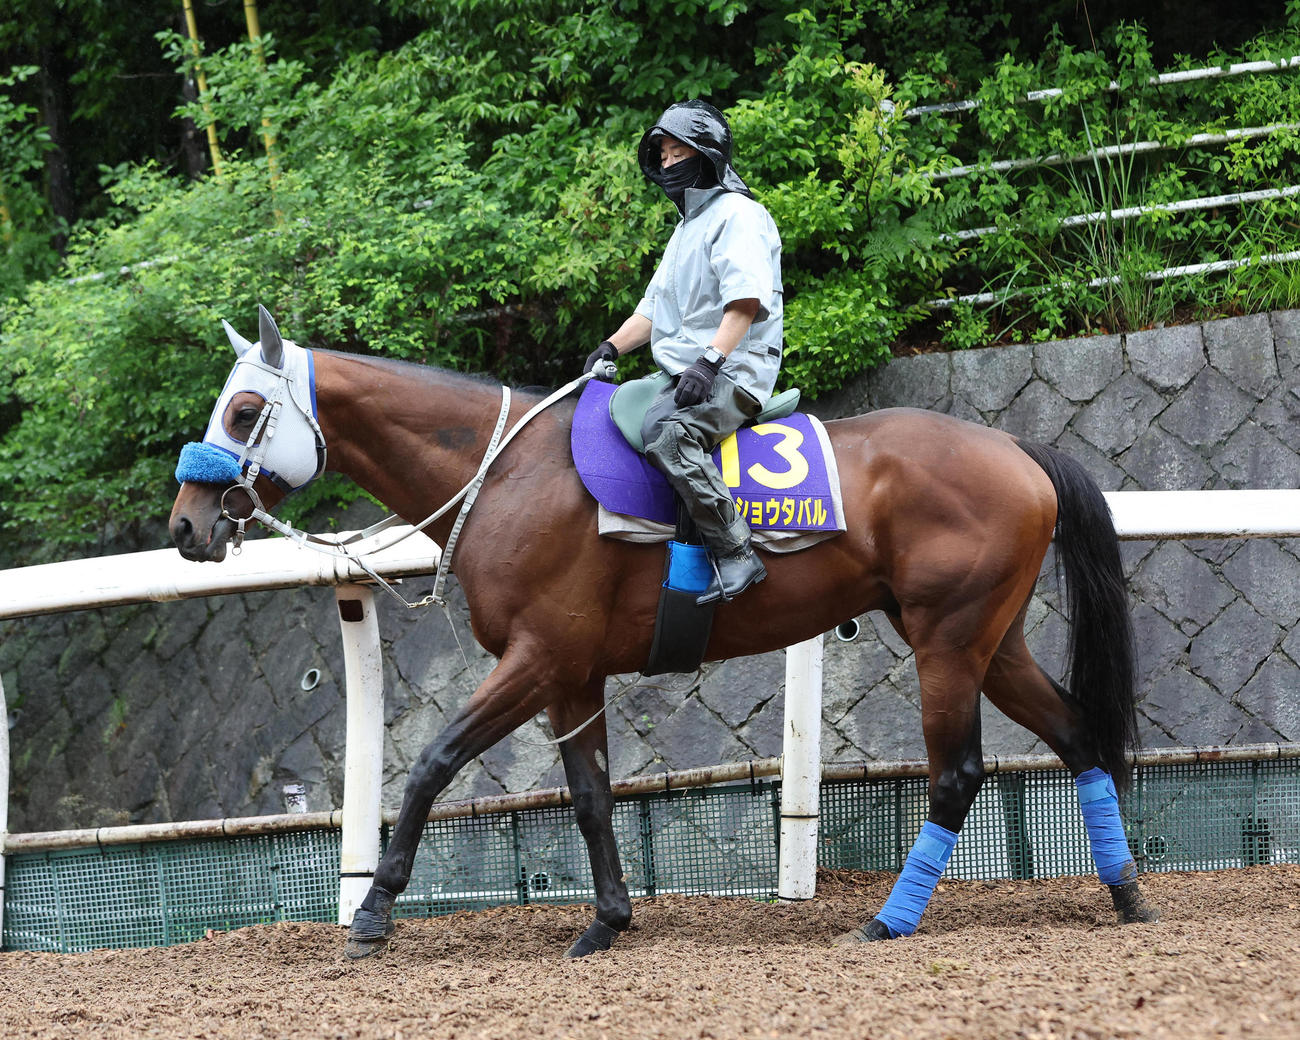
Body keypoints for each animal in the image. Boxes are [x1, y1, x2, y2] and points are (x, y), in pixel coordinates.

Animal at [170, 307, 1157, 958]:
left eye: (244, 413)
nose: (186, 525)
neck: (507, 474)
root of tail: (1019, 450)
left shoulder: (536, 657)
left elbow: (433, 764)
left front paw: (373, 915)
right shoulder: (570, 674)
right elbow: (590, 795)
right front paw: (605, 921)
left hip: (948, 641)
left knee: (957, 776)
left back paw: (890, 918)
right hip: (991, 640)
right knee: (1078, 737)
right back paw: (1124, 892)